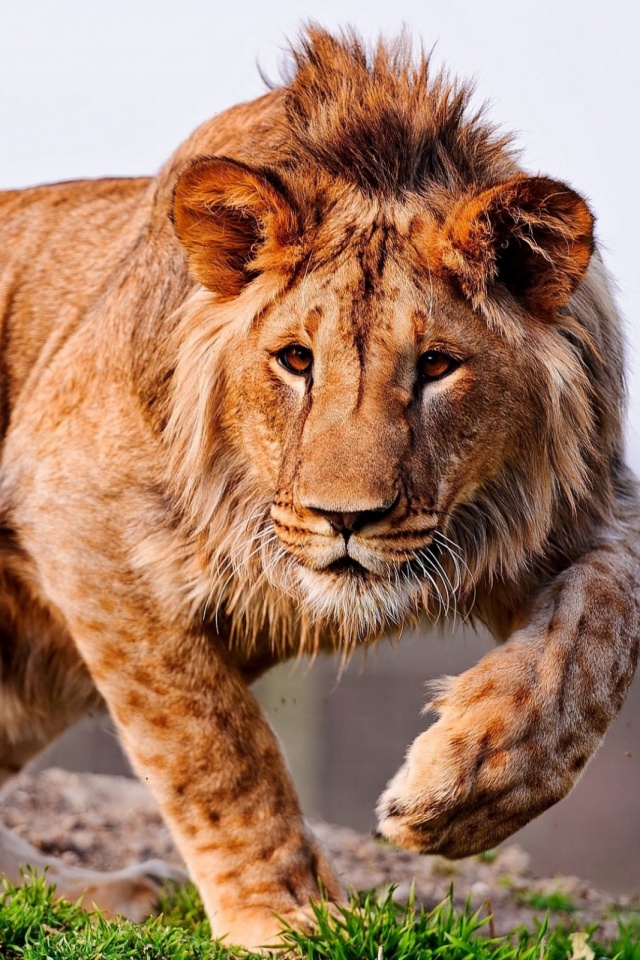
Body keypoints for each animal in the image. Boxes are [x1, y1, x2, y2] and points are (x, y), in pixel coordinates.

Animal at [0, 26, 638, 949]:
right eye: (296, 360)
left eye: (436, 366)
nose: (347, 519)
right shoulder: (74, 509)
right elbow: (214, 745)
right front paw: (285, 917)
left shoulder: (573, 505)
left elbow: (596, 637)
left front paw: (465, 790)